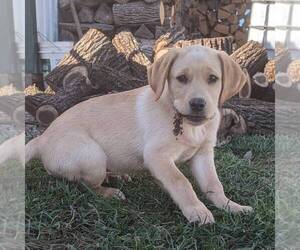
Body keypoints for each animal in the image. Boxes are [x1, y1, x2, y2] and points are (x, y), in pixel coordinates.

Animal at [25, 45, 252, 225]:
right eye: (181, 78)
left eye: (213, 79)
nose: (197, 104)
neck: (188, 125)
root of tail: (42, 139)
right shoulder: (157, 156)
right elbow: (181, 182)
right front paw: (197, 210)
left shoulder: (203, 155)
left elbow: (214, 184)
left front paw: (231, 206)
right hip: (91, 155)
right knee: (85, 185)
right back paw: (110, 192)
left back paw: (117, 175)